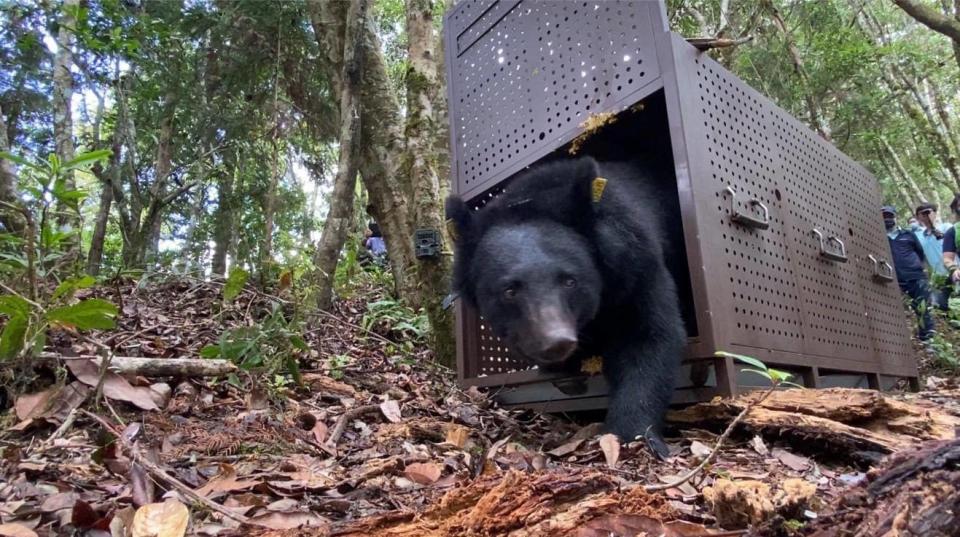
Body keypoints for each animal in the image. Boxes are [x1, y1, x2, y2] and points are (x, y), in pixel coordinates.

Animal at [446, 155, 688, 456]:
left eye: (570, 281)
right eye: (509, 290)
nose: (556, 342)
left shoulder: (636, 266)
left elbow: (648, 337)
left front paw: (632, 435)